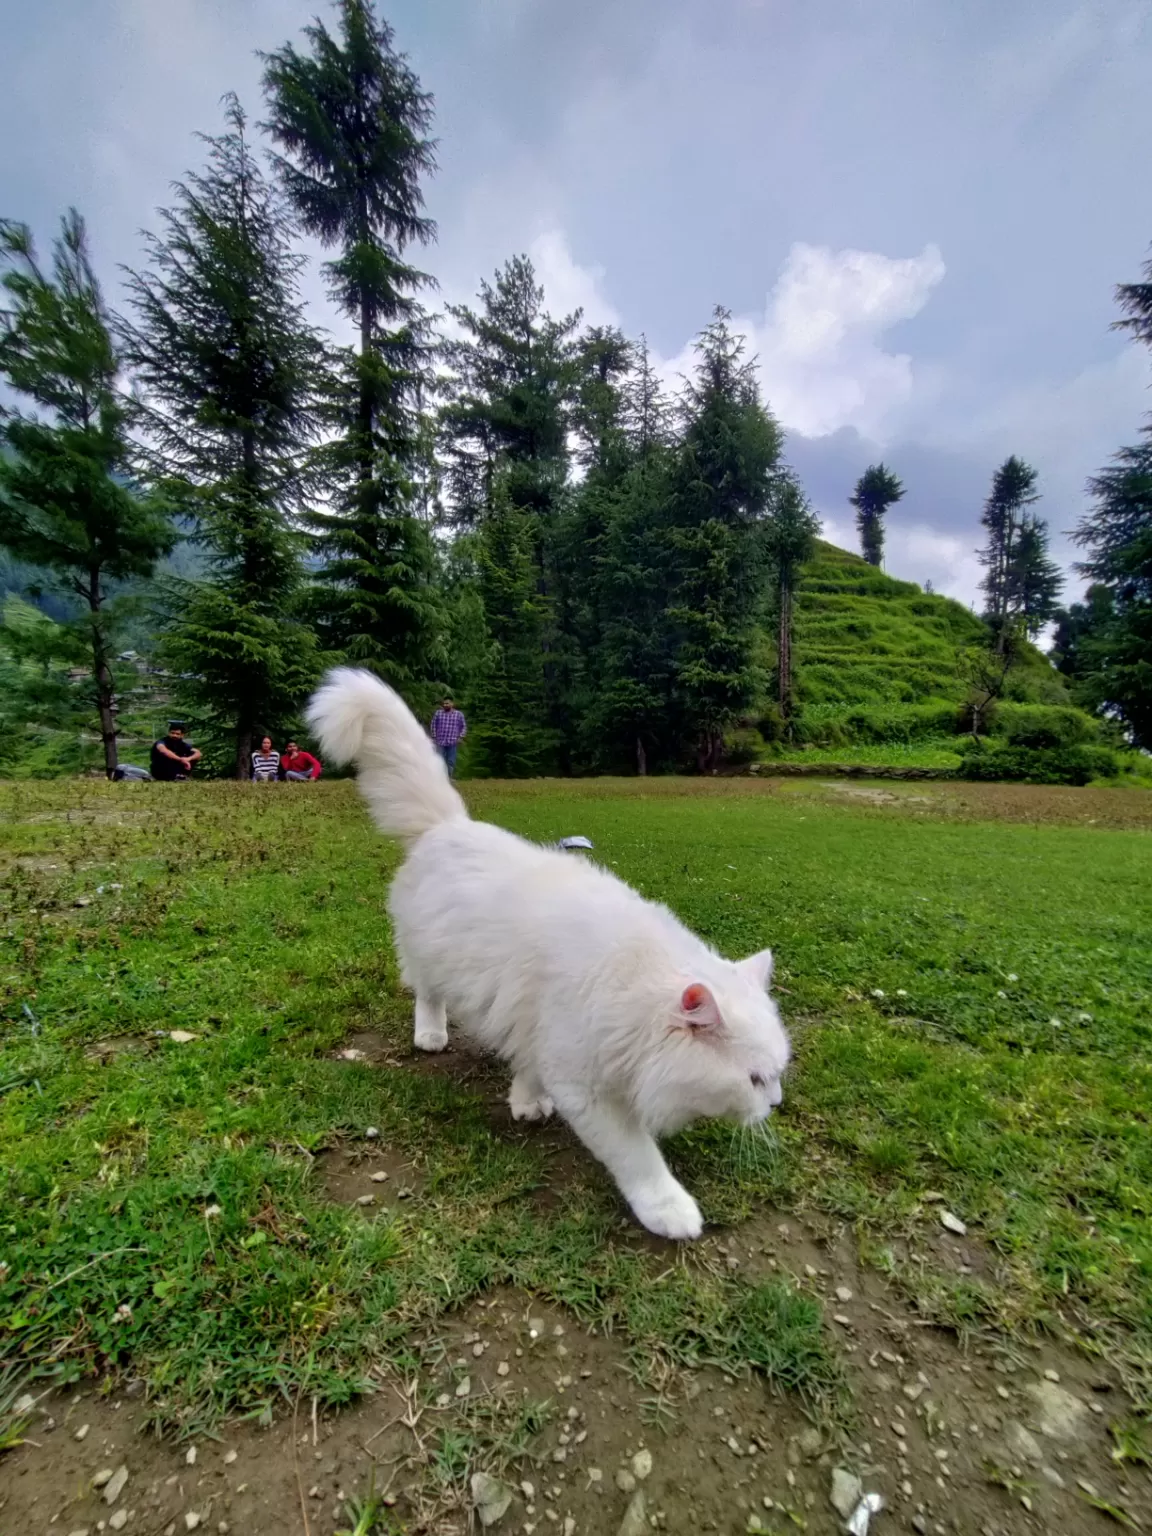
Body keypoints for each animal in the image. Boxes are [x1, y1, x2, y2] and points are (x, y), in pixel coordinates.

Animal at [307, 669, 792, 1234]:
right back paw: (431, 1036)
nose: (776, 1104)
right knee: (427, 996)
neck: (631, 989)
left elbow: (529, 1067)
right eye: (755, 1080)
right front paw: (669, 1211)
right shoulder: (586, 1085)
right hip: (430, 961)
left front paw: (526, 1101)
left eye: (777, 1075)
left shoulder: (541, 1030)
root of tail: (449, 825)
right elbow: (638, 1157)